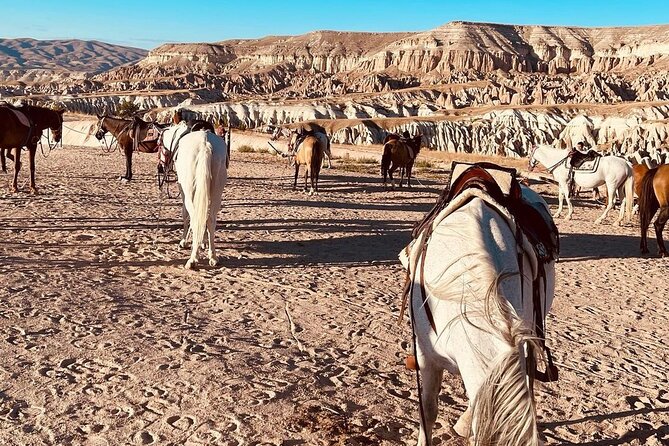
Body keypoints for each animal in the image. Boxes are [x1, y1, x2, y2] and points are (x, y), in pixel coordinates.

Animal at [160, 122, 228, 269]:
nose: (162, 166)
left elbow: (186, 215)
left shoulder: (183, 191)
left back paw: (193, 259)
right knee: (210, 220)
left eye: (159, 145)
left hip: (190, 193)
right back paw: (213, 257)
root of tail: (205, 144)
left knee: (195, 217)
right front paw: (202, 242)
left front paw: (184, 241)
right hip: (216, 194)